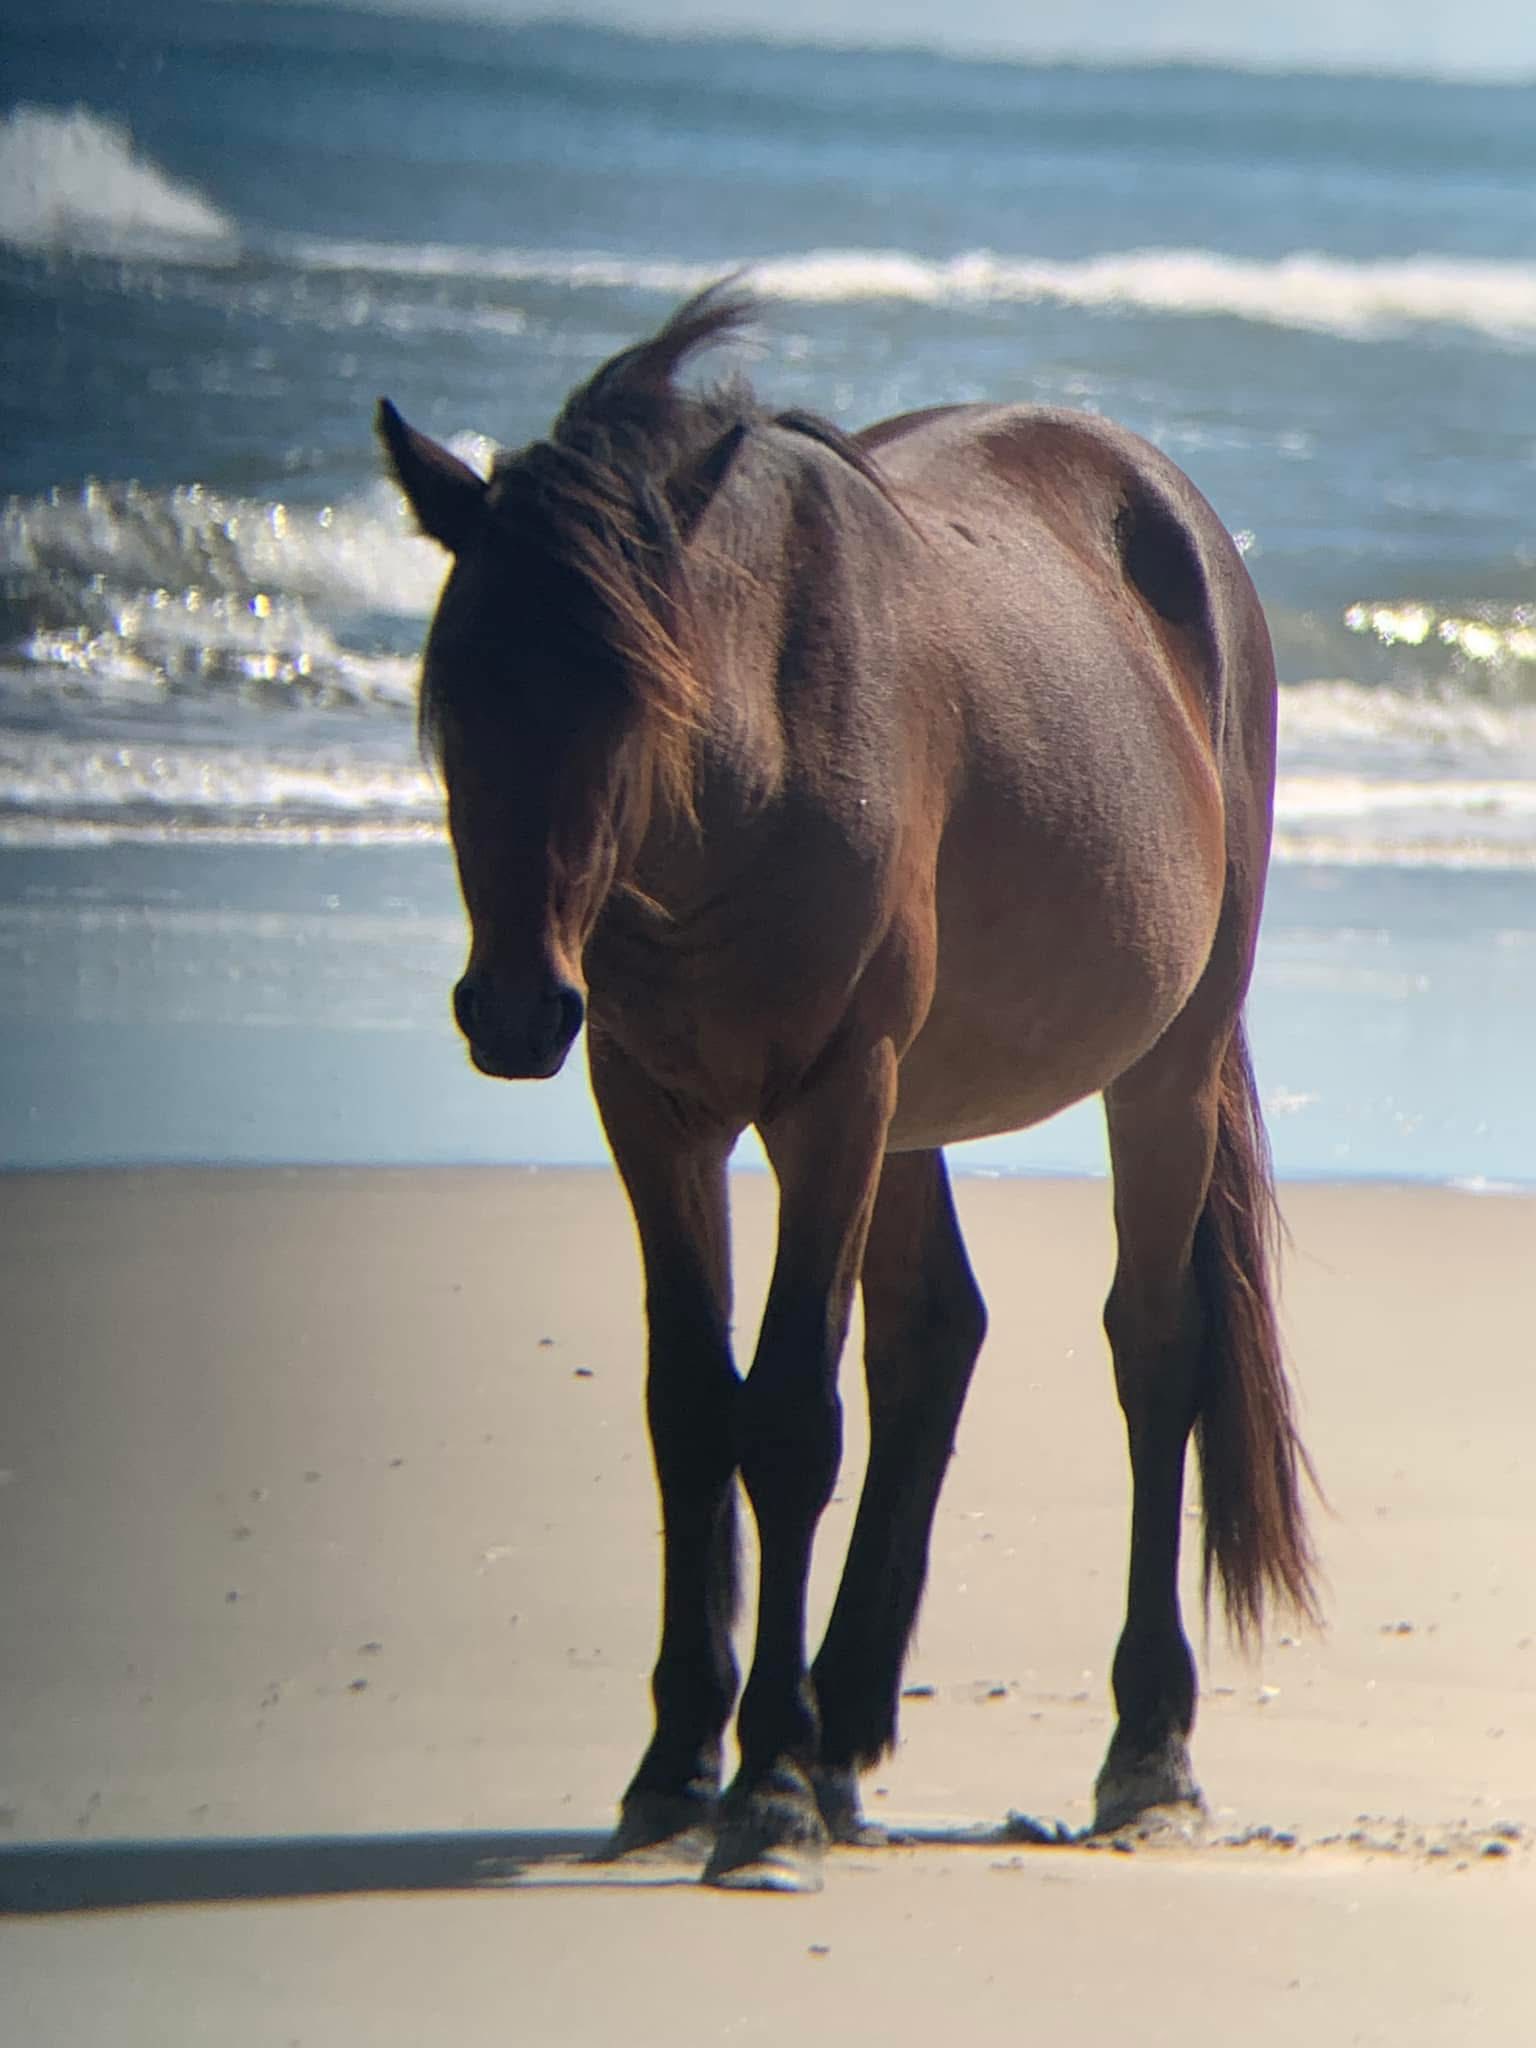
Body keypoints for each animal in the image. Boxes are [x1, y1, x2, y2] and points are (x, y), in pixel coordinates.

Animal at [378, 283, 1318, 1891]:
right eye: (459, 698)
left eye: (631, 696)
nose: (511, 1009)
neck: (750, 768)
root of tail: (1182, 523)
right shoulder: (654, 1107)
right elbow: (690, 1406)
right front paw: (680, 1762)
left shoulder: (830, 1100)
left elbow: (787, 1419)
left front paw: (758, 1791)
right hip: (913, 1116)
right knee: (935, 1337)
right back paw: (845, 1729)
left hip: (1159, 1072)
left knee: (1156, 1352)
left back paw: (1142, 1745)